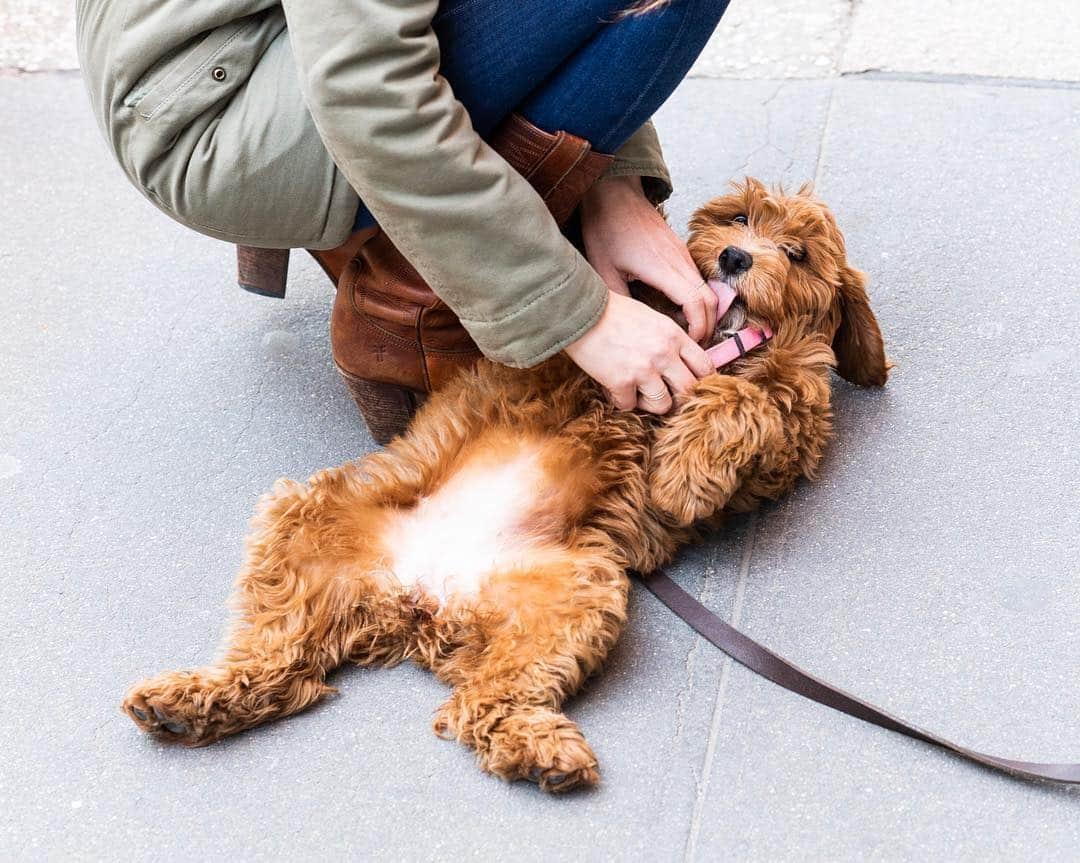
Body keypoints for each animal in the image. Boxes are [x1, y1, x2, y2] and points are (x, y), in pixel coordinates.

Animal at [124, 182, 885, 794]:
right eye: (738, 217)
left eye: (797, 253)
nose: (733, 259)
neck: (725, 344)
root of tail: (420, 599)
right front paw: (678, 451)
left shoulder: (793, 428)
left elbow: (762, 400)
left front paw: (681, 470)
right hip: (308, 521)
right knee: (280, 655)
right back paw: (193, 698)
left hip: (570, 597)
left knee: (468, 701)